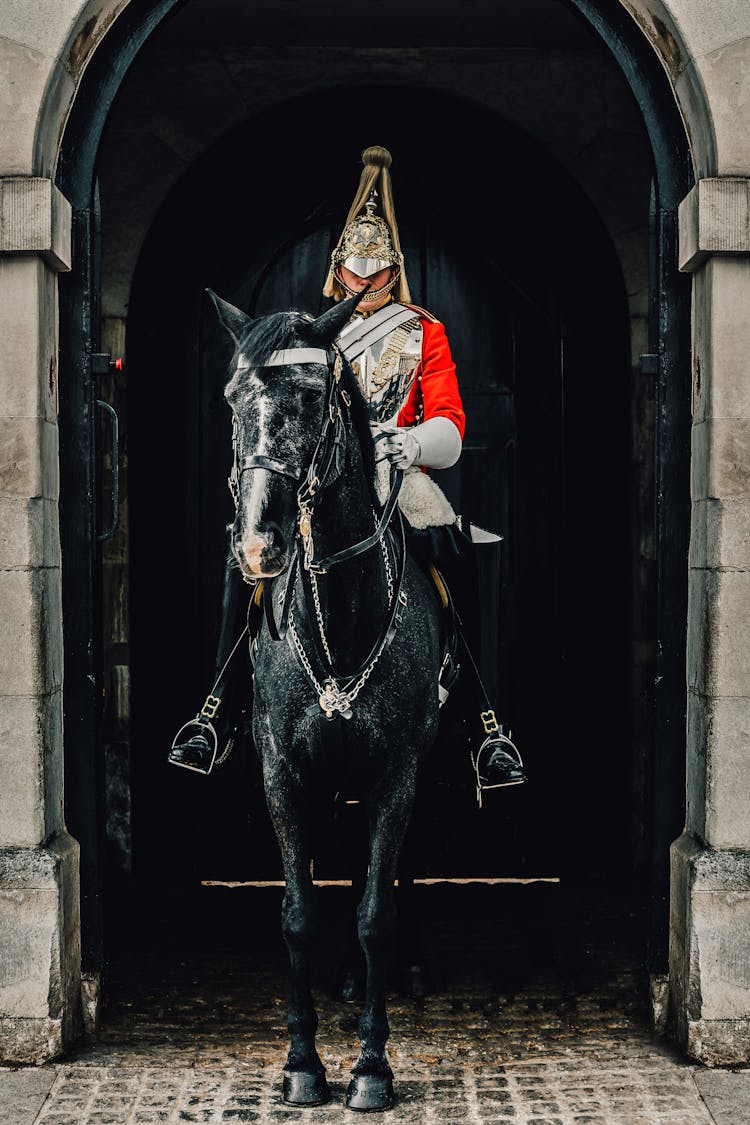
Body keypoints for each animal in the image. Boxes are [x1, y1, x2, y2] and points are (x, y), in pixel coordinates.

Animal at [211, 288, 443, 1107]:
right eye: (231, 397)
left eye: (313, 397)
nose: (258, 545)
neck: (341, 619)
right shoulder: (283, 772)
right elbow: (299, 913)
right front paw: (302, 1062)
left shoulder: (398, 772)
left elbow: (376, 911)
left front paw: (371, 1066)